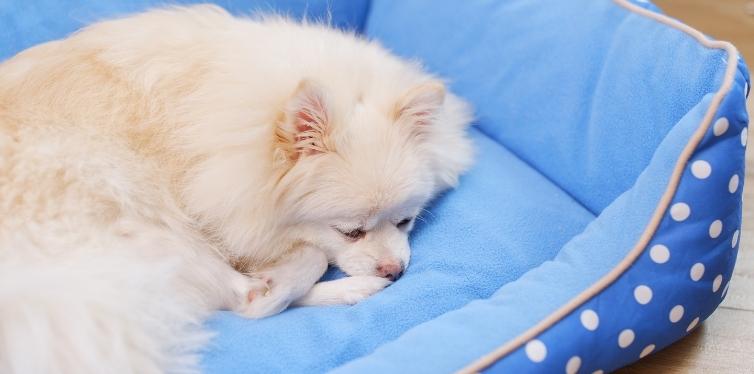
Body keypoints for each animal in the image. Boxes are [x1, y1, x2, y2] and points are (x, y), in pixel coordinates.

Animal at [0, 4, 470, 372]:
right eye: (350, 231)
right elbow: (308, 260)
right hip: (142, 220)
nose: (395, 270)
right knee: (248, 300)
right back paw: (346, 289)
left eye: (406, 221)